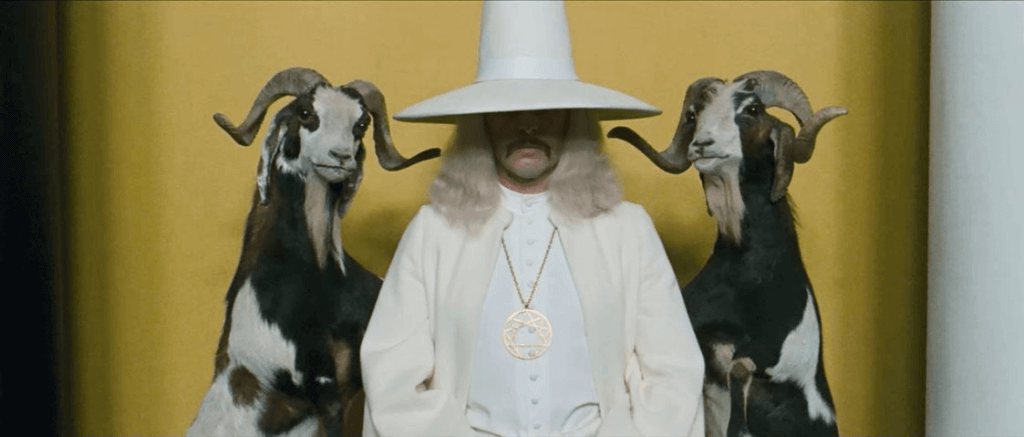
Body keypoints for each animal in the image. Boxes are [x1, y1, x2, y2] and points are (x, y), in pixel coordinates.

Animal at [608, 70, 846, 437]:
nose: (702, 144)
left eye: (752, 109)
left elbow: (740, 367)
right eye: (695, 115)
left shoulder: (777, 361)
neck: (749, 277)